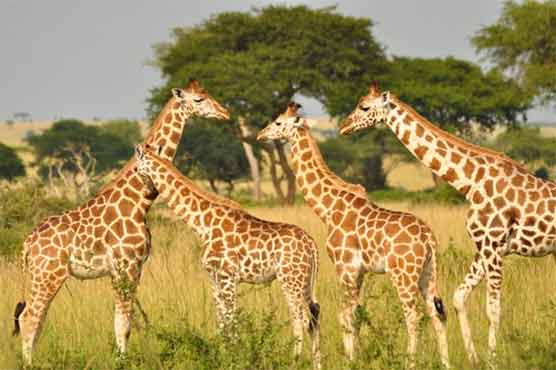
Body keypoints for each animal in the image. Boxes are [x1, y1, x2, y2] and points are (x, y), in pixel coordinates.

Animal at [13, 79, 230, 366]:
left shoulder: (133, 268)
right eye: (198, 100)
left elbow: (123, 321)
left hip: (43, 276)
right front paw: (121, 362)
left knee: (35, 318)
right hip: (48, 274)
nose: (225, 113)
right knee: (29, 317)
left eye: (208, 94)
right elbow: (123, 323)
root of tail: (27, 244)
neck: (140, 201)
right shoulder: (125, 265)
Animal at [258, 102, 450, 368]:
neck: (328, 208)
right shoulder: (359, 272)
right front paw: (356, 357)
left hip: (404, 275)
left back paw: (409, 362)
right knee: (435, 313)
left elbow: (345, 315)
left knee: (413, 315)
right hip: (428, 273)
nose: (260, 135)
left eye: (278, 122)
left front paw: (350, 359)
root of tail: (429, 239)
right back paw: (446, 362)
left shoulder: (345, 267)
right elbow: (356, 314)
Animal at [338, 81, 556, 368]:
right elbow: (458, 298)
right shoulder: (486, 247)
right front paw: (473, 358)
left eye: (364, 106)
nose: (343, 126)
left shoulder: (493, 246)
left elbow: (493, 310)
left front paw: (493, 361)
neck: (470, 182)